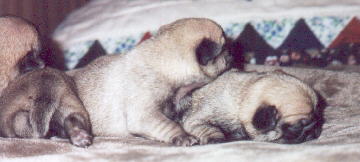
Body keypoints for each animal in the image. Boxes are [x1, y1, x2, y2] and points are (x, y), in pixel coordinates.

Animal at [173, 69, 322, 144]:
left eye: (319, 118)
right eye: (296, 127)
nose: (315, 130)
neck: (241, 101)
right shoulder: (196, 120)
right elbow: (208, 129)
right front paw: (217, 138)